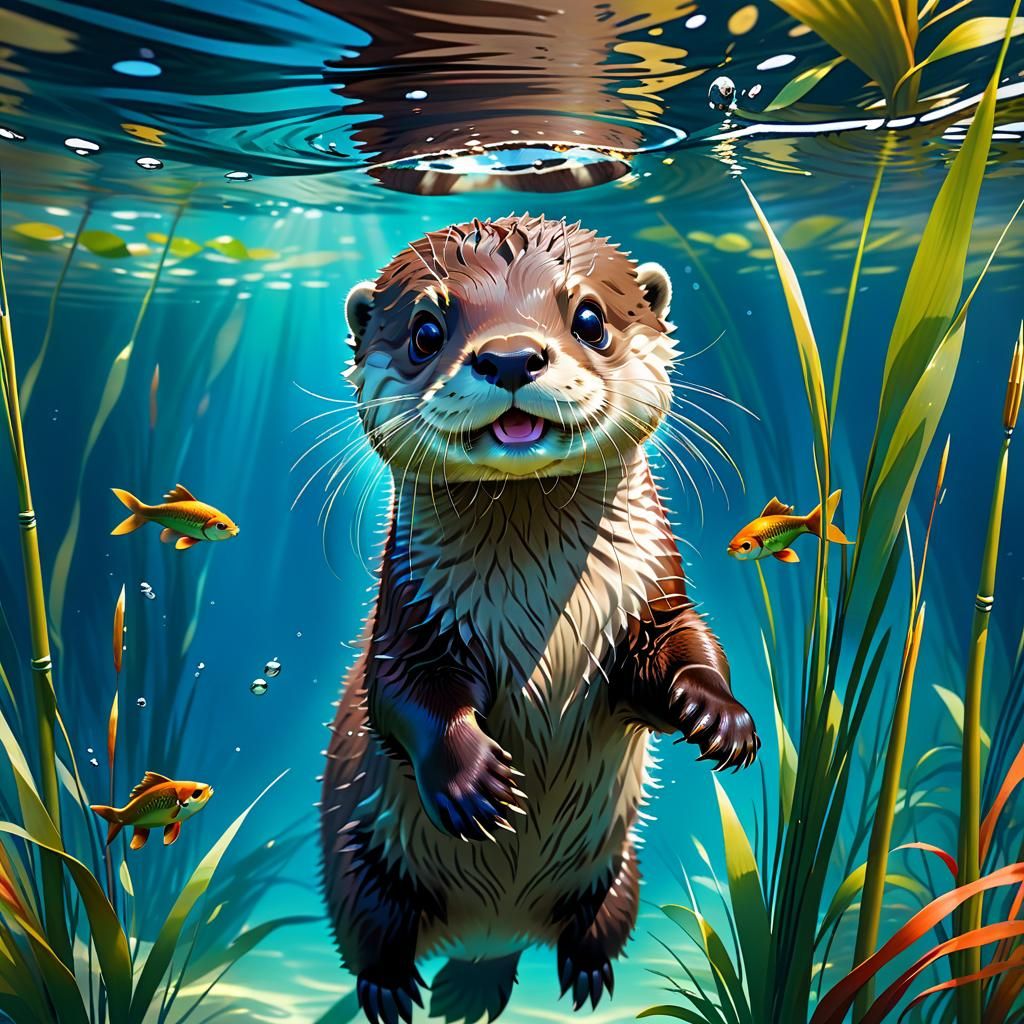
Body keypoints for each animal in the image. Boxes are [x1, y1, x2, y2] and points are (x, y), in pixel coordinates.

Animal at [321, 215, 759, 1024]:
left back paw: (580, 973)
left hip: (620, 876)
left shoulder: (653, 598)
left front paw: (719, 718)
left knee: (595, 923)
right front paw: (473, 783)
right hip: (361, 873)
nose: (510, 357)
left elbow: (688, 645)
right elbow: (403, 697)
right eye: (425, 330)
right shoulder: (410, 619)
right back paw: (393, 990)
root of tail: (489, 931)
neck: (539, 614)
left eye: (589, 318)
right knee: (372, 937)